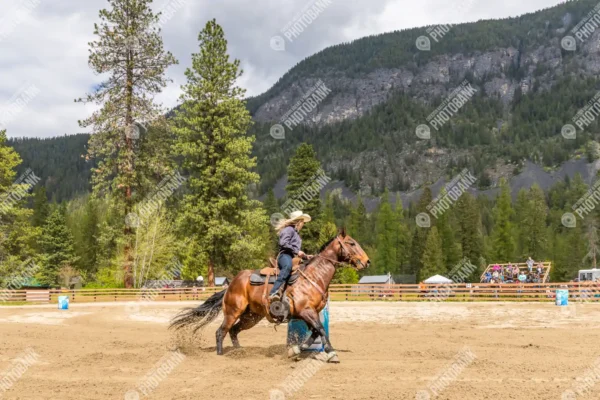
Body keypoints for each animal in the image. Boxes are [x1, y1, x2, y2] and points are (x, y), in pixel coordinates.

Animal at [169, 228, 370, 360]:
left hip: (251, 316)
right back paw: (221, 355)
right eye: (351, 243)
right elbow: (320, 329)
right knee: (221, 331)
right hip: (233, 311)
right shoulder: (306, 311)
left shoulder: (308, 313)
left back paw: (240, 352)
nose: (367, 261)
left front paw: (296, 350)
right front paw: (331, 353)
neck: (314, 276)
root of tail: (231, 284)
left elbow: (314, 332)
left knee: (233, 331)